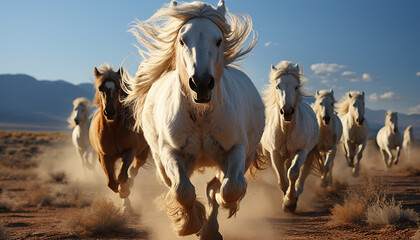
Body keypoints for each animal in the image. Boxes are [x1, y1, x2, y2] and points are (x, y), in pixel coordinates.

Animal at [88, 63, 149, 212]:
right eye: (100, 88)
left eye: (119, 88)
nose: (110, 112)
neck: (113, 130)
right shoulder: (104, 156)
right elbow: (111, 182)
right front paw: (121, 193)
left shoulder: (129, 151)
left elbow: (122, 176)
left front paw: (124, 192)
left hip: (142, 154)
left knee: (133, 171)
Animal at [123, 0, 264, 239]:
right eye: (182, 40)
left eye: (218, 40)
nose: (201, 83)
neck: (201, 116)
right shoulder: (172, 152)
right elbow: (183, 191)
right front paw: (188, 224)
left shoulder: (236, 149)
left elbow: (229, 188)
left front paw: (220, 207)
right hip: (162, 163)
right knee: (178, 185)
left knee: (219, 184)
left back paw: (212, 226)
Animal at [260, 61, 324, 213]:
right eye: (278, 86)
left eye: (296, 87)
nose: (287, 111)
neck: (287, 130)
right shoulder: (275, 153)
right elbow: (282, 180)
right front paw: (286, 200)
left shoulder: (301, 151)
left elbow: (293, 173)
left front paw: (290, 203)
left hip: (308, 154)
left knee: (303, 173)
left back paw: (296, 194)